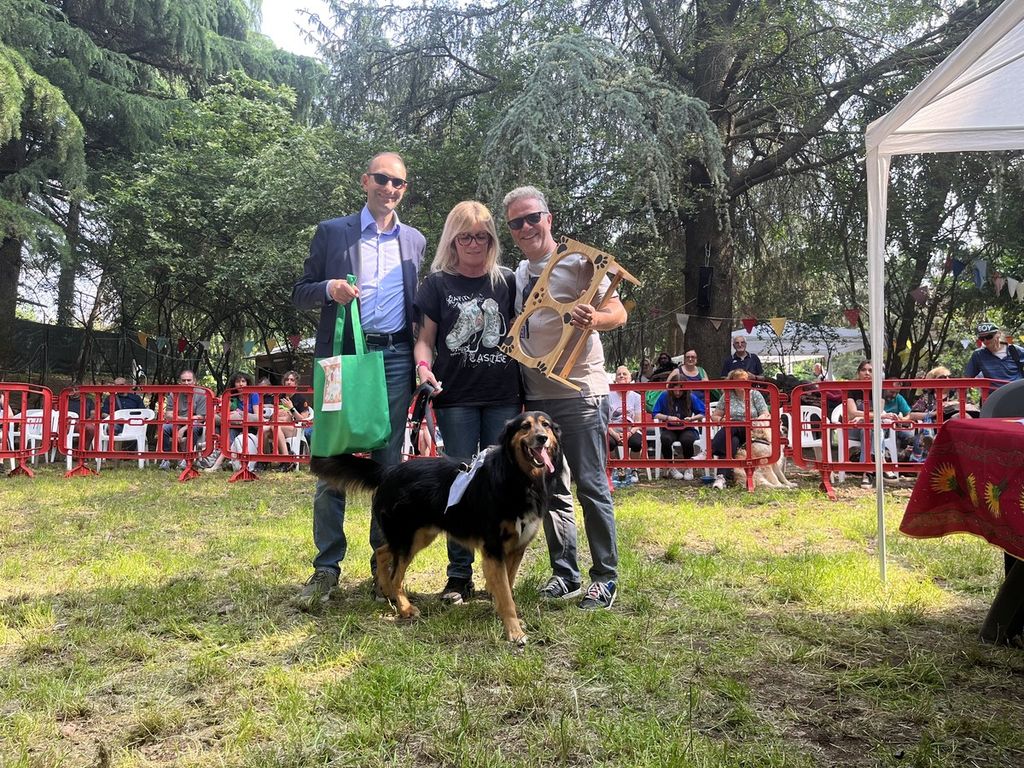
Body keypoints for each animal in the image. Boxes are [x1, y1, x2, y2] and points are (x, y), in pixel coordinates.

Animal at [309, 411, 561, 644]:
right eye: (525, 426)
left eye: (546, 425)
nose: (542, 438)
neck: (518, 477)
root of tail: (388, 471)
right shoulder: (493, 548)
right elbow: (506, 595)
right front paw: (514, 632)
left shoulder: (517, 548)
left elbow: (506, 587)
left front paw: (506, 617)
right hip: (407, 538)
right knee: (395, 574)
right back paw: (404, 608)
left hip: (418, 536)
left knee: (381, 553)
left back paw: (388, 594)